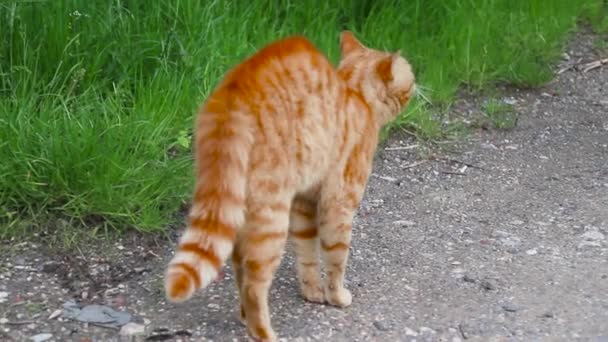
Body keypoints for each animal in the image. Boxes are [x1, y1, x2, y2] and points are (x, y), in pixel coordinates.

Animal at [164, 31, 416, 340]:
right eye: (411, 76)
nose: (418, 85)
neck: (355, 93)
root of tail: (233, 92)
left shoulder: (305, 203)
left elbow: (307, 255)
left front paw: (312, 293)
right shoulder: (339, 204)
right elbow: (336, 259)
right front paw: (336, 297)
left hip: (241, 208)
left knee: (240, 268)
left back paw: (243, 316)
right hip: (271, 218)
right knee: (254, 284)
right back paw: (263, 332)